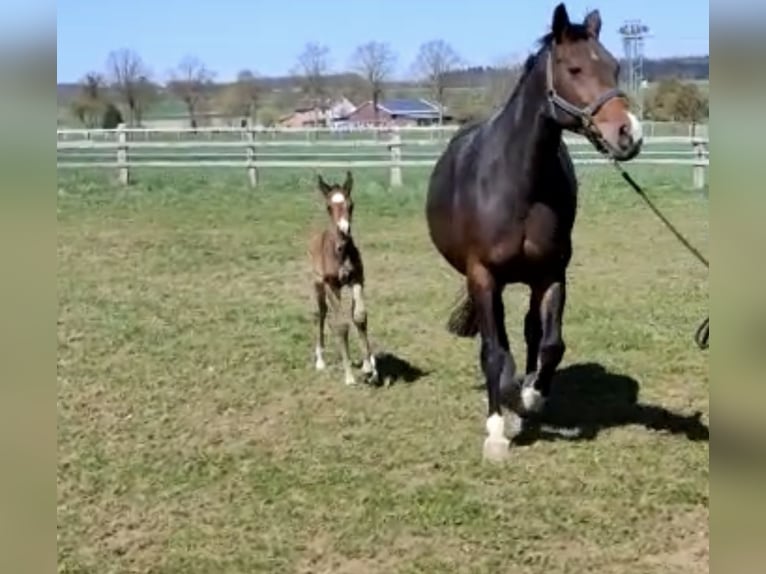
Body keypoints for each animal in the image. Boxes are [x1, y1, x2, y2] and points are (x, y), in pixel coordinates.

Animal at [309, 171, 379, 386]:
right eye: (328, 207)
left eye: (351, 204)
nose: (344, 230)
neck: (340, 251)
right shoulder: (332, 285)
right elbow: (341, 325)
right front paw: (349, 376)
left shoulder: (357, 279)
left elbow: (359, 316)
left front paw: (370, 368)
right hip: (318, 285)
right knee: (321, 313)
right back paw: (320, 360)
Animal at [425, 3, 644, 461]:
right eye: (574, 68)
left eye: (616, 67)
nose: (628, 134)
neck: (517, 184)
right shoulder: (483, 276)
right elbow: (494, 354)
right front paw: (497, 429)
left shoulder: (551, 274)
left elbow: (550, 344)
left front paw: (531, 396)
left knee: (529, 333)